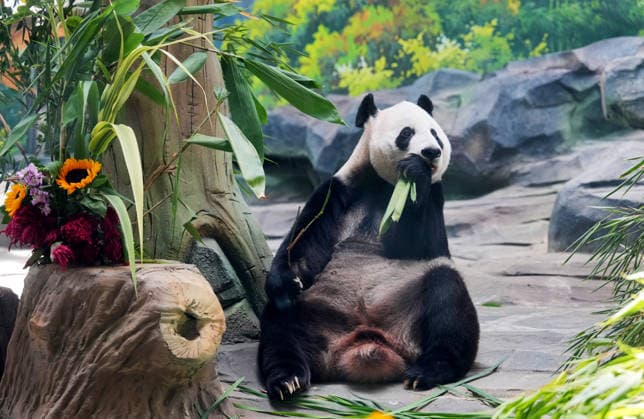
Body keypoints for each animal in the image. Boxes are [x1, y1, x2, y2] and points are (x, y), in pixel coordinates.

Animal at [258, 93, 479, 400]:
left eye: (436, 133)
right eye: (407, 133)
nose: (432, 152)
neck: (386, 185)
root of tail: (366, 343)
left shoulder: (435, 194)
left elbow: (422, 245)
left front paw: (416, 173)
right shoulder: (340, 190)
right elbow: (305, 239)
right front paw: (286, 280)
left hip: (409, 311)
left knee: (447, 293)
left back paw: (426, 372)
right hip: (317, 310)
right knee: (281, 323)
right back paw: (288, 379)